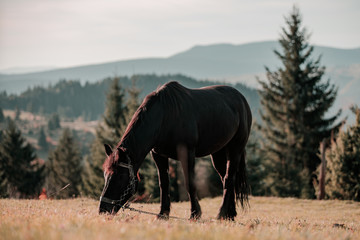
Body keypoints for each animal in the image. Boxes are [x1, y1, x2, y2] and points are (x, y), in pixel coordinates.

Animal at [97, 81, 252, 220]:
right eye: (105, 175)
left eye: (120, 176)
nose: (103, 210)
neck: (164, 117)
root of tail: (241, 99)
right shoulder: (158, 155)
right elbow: (164, 184)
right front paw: (163, 213)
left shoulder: (187, 154)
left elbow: (190, 183)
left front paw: (195, 214)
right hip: (218, 153)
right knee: (225, 178)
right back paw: (230, 214)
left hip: (235, 149)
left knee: (229, 178)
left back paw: (222, 213)